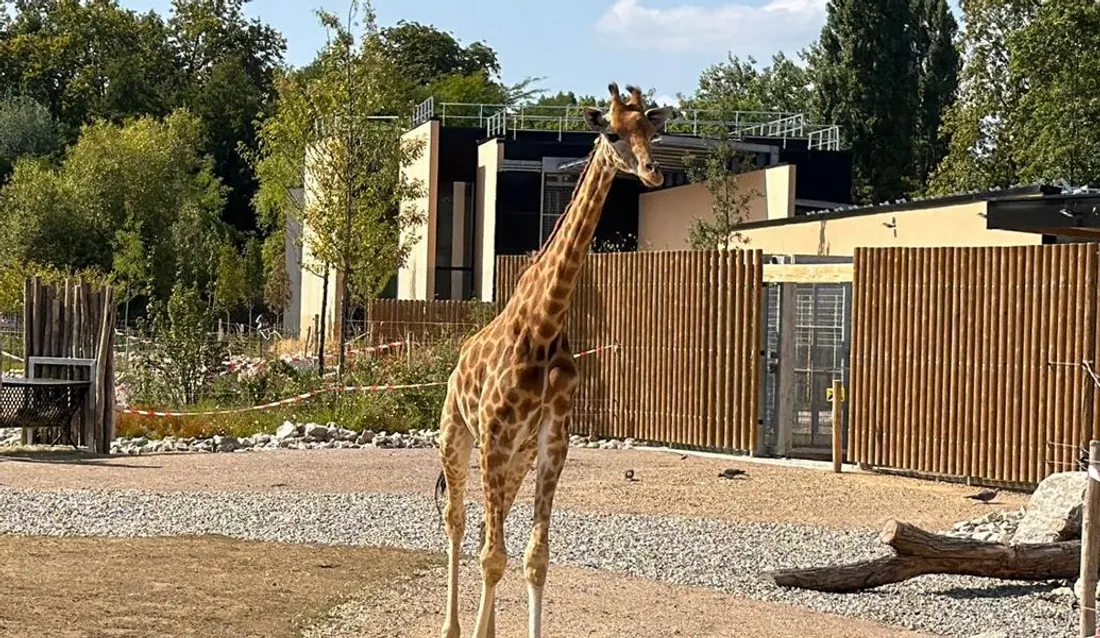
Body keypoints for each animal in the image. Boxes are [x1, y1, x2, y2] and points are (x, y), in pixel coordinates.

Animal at [434, 82, 672, 638]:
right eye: (612, 133)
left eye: (651, 131)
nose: (653, 173)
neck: (544, 326)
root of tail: (456, 367)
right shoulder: (495, 436)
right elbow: (493, 557)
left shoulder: (551, 441)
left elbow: (533, 558)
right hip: (457, 437)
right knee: (458, 521)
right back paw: (452, 627)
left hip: (514, 458)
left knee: (488, 522)